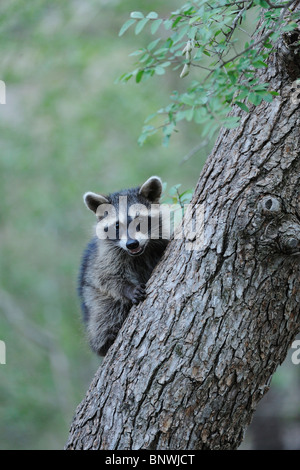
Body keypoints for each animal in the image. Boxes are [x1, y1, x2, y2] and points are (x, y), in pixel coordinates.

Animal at [78, 176, 169, 356]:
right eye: (117, 225)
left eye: (140, 220)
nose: (132, 244)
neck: (140, 253)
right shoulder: (105, 257)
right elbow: (106, 277)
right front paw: (128, 289)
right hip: (91, 296)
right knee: (105, 310)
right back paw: (104, 341)